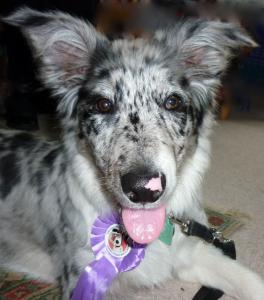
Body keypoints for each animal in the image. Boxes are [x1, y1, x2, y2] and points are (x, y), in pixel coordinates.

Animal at [0, 7, 264, 300]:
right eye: (103, 105)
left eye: (173, 102)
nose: (144, 188)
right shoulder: (82, 278)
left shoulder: (190, 253)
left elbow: (249, 279)